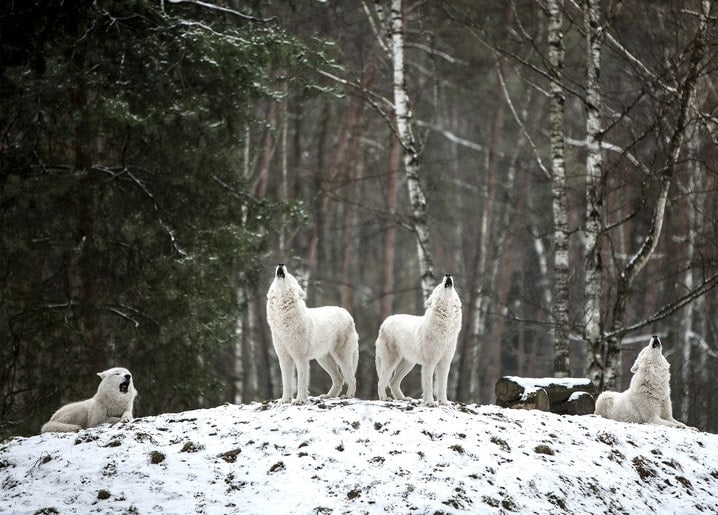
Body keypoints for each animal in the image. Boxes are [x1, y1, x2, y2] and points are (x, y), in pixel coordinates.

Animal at [268, 264, 360, 406]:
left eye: (290, 277)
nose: (281, 264)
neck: (282, 320)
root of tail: (348, 314)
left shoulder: (300, 358)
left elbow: (301, 381)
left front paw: (300, 400)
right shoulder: (284, 358)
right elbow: (286, 383)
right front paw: (285, 400)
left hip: (341, 358)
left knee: (352, 378)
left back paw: (348, 396)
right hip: (323, 360)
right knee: (339, 379)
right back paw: (328, 396)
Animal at [374, 274, 464, 408]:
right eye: (438, 286)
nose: (448, 275)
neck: (446, 327)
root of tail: (385, 322)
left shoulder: (444, 363)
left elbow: (442, 386)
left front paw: (444, 402)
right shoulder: (429, 363)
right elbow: (429, 385)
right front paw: (430, 402)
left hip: (407, 364)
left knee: (393, 382)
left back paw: (403, 398)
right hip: (391, 362)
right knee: (381, 382)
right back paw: (384, 398)